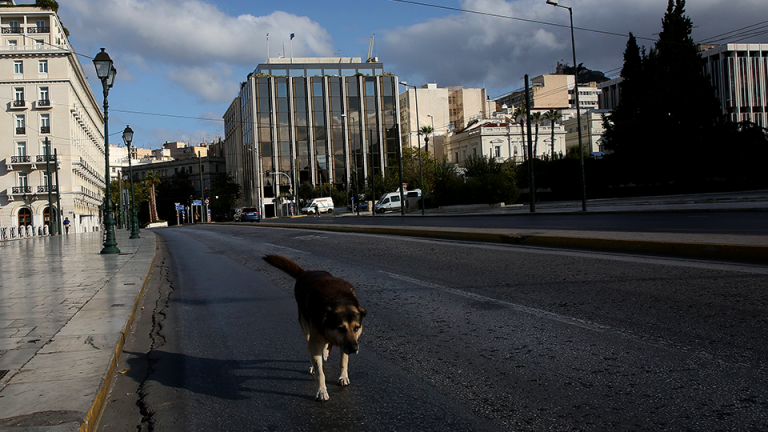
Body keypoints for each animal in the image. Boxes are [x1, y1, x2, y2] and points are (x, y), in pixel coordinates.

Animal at [262, 255, 368, 400]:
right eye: (341, 328)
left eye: (357, 328)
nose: (354, 349)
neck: (338, 300)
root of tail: (306, 272)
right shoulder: (318, 341)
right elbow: (320, 372)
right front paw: (321, 390)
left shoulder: (345, 343)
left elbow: (343, 361)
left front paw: (343, 377)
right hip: (306, 329)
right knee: (310, 348)